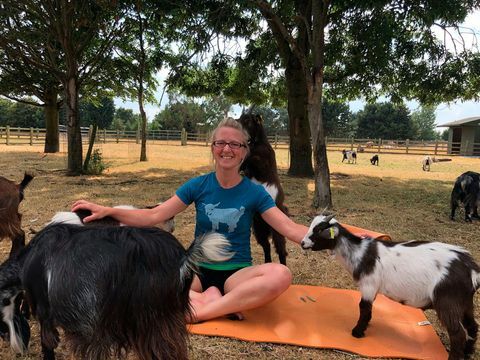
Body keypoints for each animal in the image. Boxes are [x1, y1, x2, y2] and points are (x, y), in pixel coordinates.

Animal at [0, 224, 231, 358]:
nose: (16, 349)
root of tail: (183, 258)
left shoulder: (48, 312)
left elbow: (48, 344)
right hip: (166, 319)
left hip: (151, 321)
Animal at [237, 114, 288, 266]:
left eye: (247, 120)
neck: (256, 144)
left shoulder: (263, 163)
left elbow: (253, 158)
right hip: (258, 229)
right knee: (266, 246)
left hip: (277, 229)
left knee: (281, 251)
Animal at [304, 215, 480, 360]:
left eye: (318, 230)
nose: (303, 243)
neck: (359, 253)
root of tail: (472, 269)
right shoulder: (373, 289)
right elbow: (369, 309)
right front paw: (366, 327)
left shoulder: (368, 285)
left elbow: (364, 308)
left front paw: (357, 332)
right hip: (465, 302)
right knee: (472, 326)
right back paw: (467, 352)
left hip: (448, 302)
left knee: (458, 334)